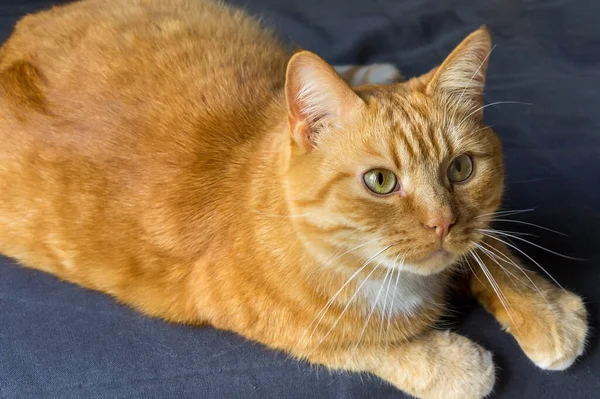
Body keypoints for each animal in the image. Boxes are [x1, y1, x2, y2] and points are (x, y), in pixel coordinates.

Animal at [0, 0, 584, 399]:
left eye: (461, 169)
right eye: (380, 182)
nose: (442, 223)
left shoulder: (473, 235)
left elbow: (493, 252)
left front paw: (546, 310)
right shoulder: (250, 315)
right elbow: (361, 344)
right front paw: (454, 363)